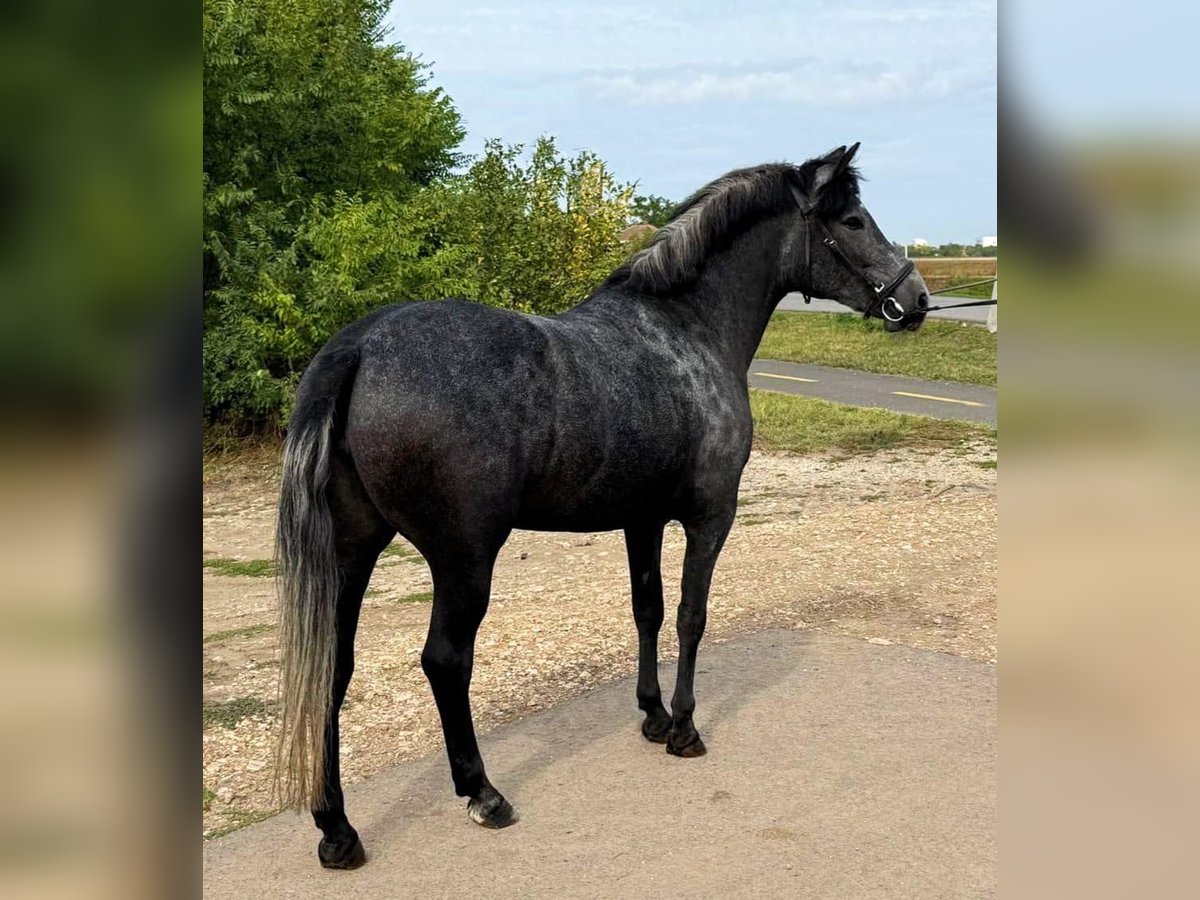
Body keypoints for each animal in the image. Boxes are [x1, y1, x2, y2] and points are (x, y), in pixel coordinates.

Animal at [274, 142, 930, 868]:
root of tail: (359, 346)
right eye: (852, 220)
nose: (916, 299)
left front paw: (653, 715)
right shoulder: (710, 517)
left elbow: (647, 610)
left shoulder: (640, 520)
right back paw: (483, 794)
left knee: (332, 671)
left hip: (353, 549)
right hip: (463, 559)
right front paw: (686, 728)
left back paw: (337, 827)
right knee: (445, 662)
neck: (686, 329)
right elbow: (691, 617)